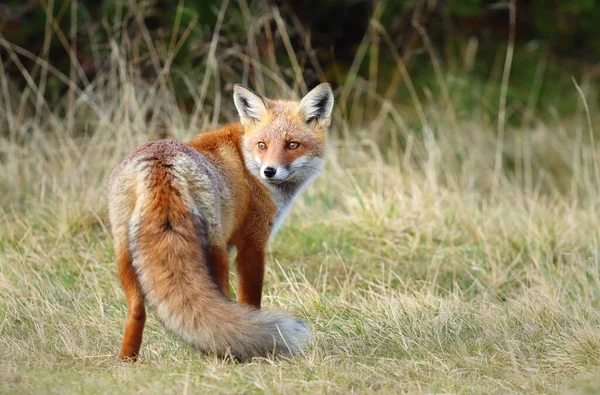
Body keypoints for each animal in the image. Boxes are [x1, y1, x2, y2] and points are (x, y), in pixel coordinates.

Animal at [108, 83, 332, 362]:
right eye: (262, 144)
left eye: (292, 144)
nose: (269, 171)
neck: (246, 161)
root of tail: (163, 163)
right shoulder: (252, 244)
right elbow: (250, 301)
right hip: (215, 250)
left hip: (123, 252)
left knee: (137, 309)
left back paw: (127, 361)